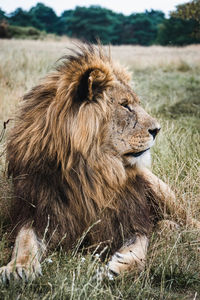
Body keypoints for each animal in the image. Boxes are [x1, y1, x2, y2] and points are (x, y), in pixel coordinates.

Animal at [0, 44, 199, 282]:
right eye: (125, 106)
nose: (157, 129)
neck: (93, 171)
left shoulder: (132, 220)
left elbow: (139, 252)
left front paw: (116, 268)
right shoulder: (36, 211)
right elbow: (25, 240)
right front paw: (19, 268)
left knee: (187, 221)